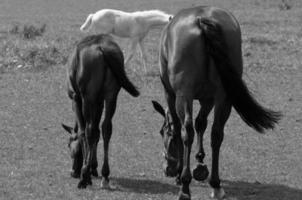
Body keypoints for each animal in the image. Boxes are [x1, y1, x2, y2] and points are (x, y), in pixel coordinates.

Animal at [61, 33, 142, 188]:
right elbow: (98, 132)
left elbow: (83, 132)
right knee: (106, 128)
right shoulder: (99, 102)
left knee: (89, 130)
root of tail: (102, 49)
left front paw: (87, 169)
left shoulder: (76, 98)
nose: (73, 172)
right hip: (111, 95)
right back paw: (105, 174)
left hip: (88, 97)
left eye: (68, 145)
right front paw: (94, 167)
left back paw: (84, 177)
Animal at [152, 6, 282, 200]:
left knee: (187, 131)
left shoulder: (171, 94)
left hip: (184, 95)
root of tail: (202, 18)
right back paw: (215, 184)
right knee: (216, 133)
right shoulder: (209, 99)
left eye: (162, 133)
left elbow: (179, 128)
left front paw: (181, 173)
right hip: (224, 97)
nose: (167, 169)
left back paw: (185, 186)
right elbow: (201, 123)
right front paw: (200, 161)